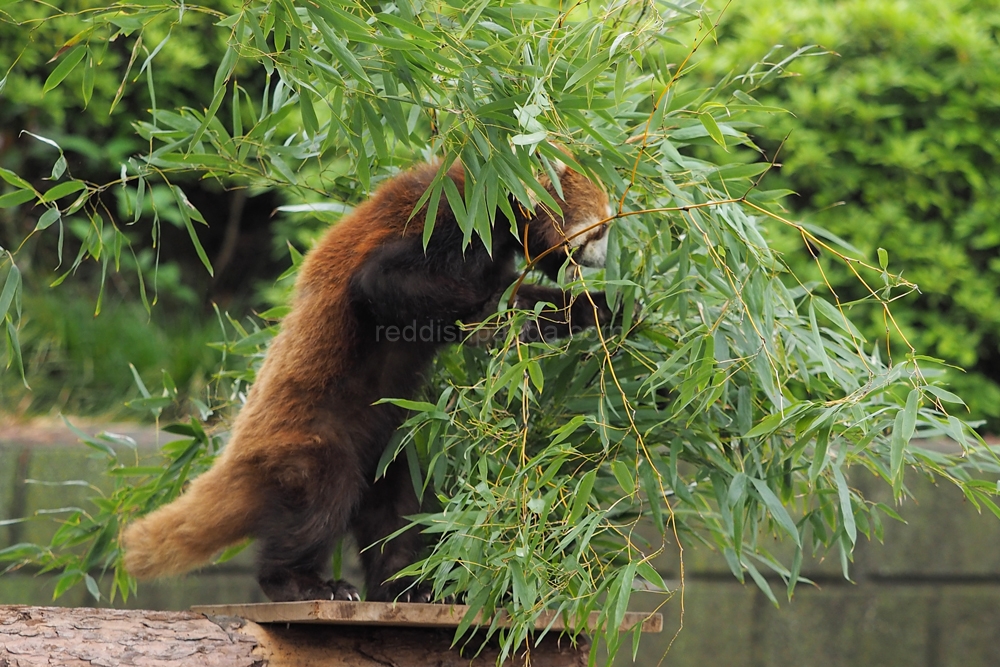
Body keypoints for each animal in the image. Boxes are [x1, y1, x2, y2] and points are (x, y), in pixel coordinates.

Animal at [121, 158, 612, 604]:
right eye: (600, 231)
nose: (602, 260)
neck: (496, 182)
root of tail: (238, 453)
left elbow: (531, 299)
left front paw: (601, 308)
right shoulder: (449, 220)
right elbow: (380, 282)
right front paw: (488, 307)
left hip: (389, 447)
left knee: (398, 508)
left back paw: (403, 586)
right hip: (310, 443)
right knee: (324, 502)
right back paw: (301, 583)